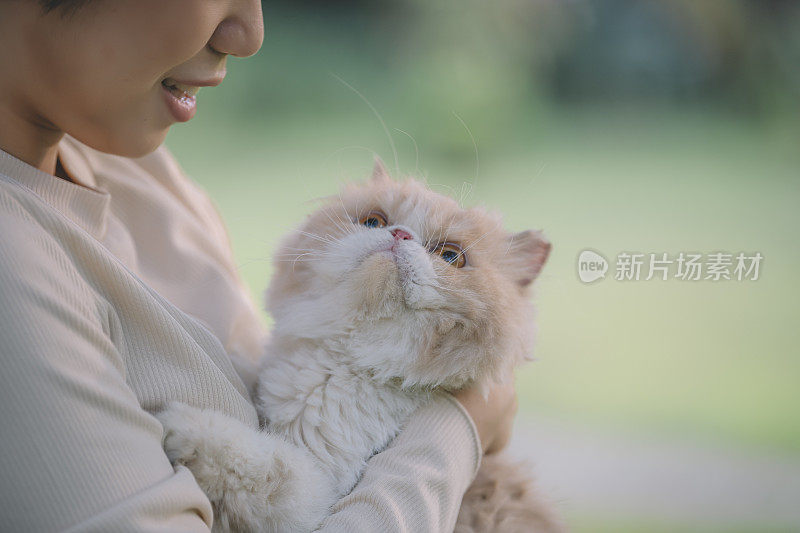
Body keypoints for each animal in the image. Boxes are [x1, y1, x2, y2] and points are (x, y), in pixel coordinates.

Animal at [156, 160, 564, 528]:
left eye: (451, 256)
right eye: (375, 222)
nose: (400, 235)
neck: (344, 363)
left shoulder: (318, 494)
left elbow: (268, 464)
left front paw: (180, 425)